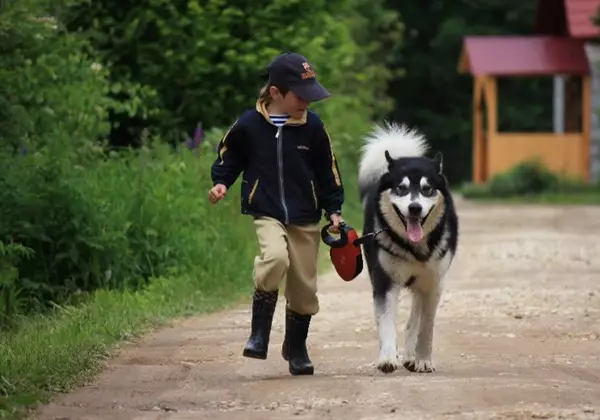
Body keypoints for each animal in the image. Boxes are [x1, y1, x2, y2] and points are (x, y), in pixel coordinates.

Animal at [356, 121, 460, 374]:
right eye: (401, 188)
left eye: (427, 189)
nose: (414, 208)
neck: (414, 248)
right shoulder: (384, 280)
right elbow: (386, 322)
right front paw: (387, 358)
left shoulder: (433, 283)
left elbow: (425, 327)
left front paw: (423, 359)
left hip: (422, 283)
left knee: (415, 318)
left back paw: (411, 356)